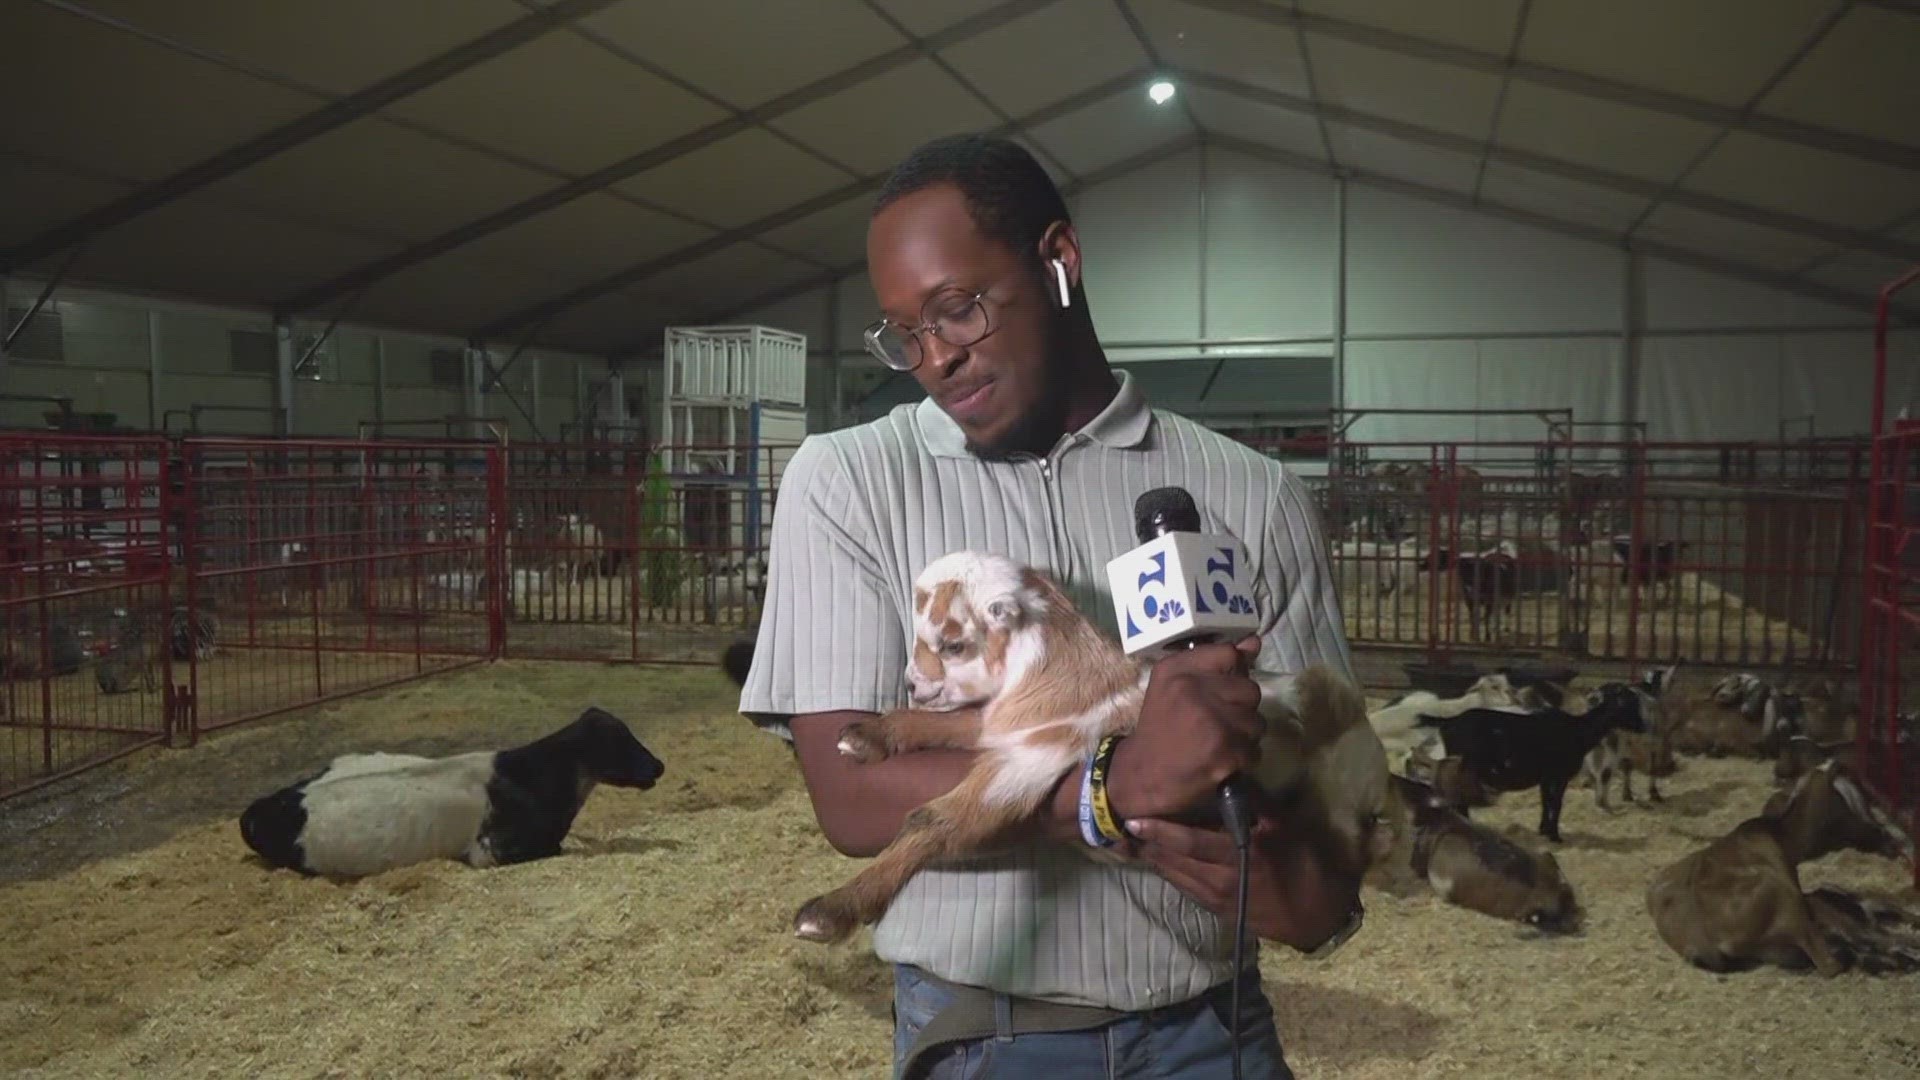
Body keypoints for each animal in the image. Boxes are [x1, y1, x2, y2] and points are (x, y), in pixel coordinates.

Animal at [791, 553, 1397, 941]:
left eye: (953, 643)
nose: (915, 685)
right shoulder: (1003, 726)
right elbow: (954, 725)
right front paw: (865, 736)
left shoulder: (1034, 757)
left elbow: (934, 820)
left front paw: (828, 912)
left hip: (1343, 791)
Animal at [1413, 680, 1651, 841]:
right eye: (1627, 703)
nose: (1644, 727)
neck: (1579, 730)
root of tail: (1448, 722)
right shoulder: (1559, 775)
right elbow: (1557, 802)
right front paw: (1555, 835)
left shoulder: (1546, 777)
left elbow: (1546, 802)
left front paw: (1543, 830)